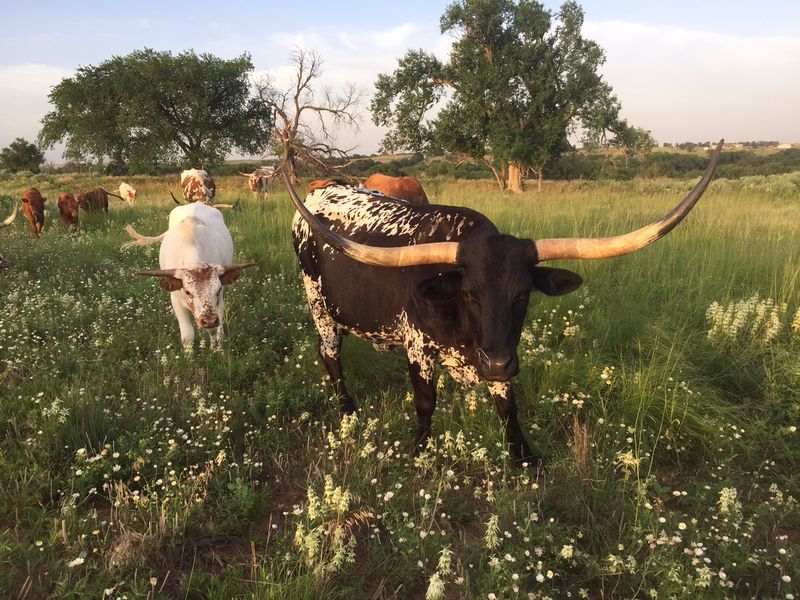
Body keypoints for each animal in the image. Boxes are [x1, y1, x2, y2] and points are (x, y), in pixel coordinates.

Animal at [122, 202, 256, 350]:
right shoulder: (176, 301)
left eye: (218, 289)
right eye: (187, 292)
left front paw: (216, 351)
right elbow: (187, 336)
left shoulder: (219, 300)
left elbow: (215, 331)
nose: (209, 320)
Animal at [288, 140, 723, 465]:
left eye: (524, 294)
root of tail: (324, 189)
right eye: (469, 293)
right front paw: (419, 449)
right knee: (330, 354)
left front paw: (524, 455)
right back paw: (348, 409)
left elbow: (507, 407)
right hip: (319, 306)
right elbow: (425, 402)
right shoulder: (419, 348)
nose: (497, 364)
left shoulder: (499, 352)